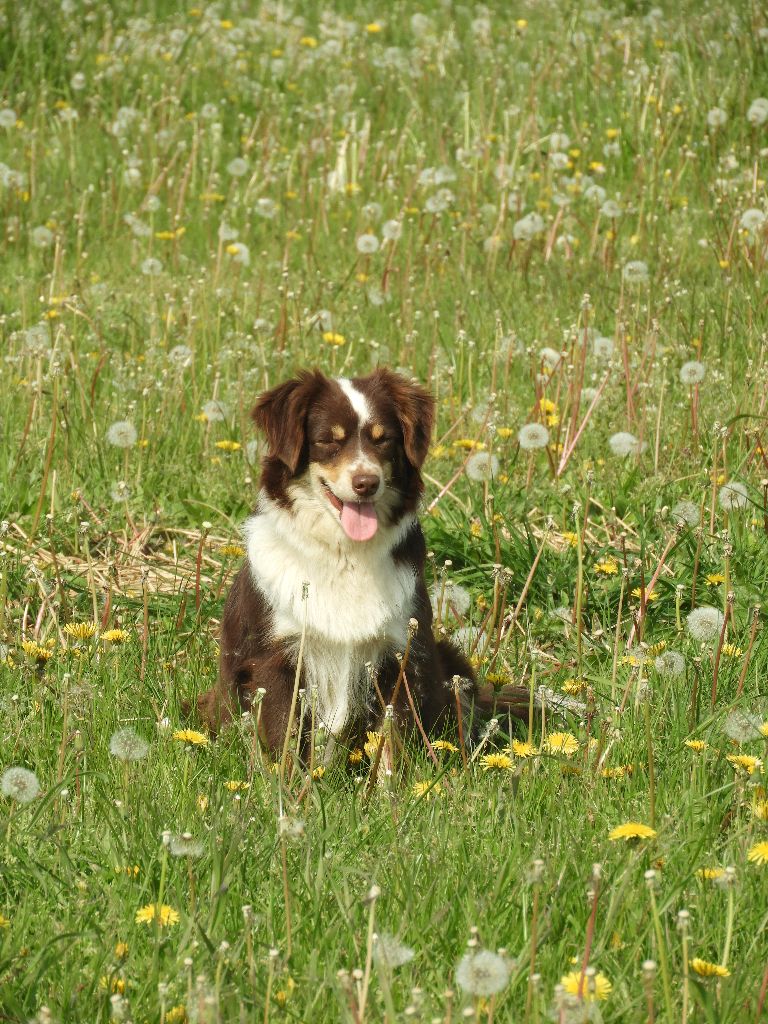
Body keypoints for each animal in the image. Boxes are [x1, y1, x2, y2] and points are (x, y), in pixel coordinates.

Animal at [195, 368, 532, 761]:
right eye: (328, 440)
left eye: (383, 440)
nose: (366, 483)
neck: (345, 555)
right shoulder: (276, 659)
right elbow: (287, 743)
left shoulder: (398, 654)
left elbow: (392, 744)